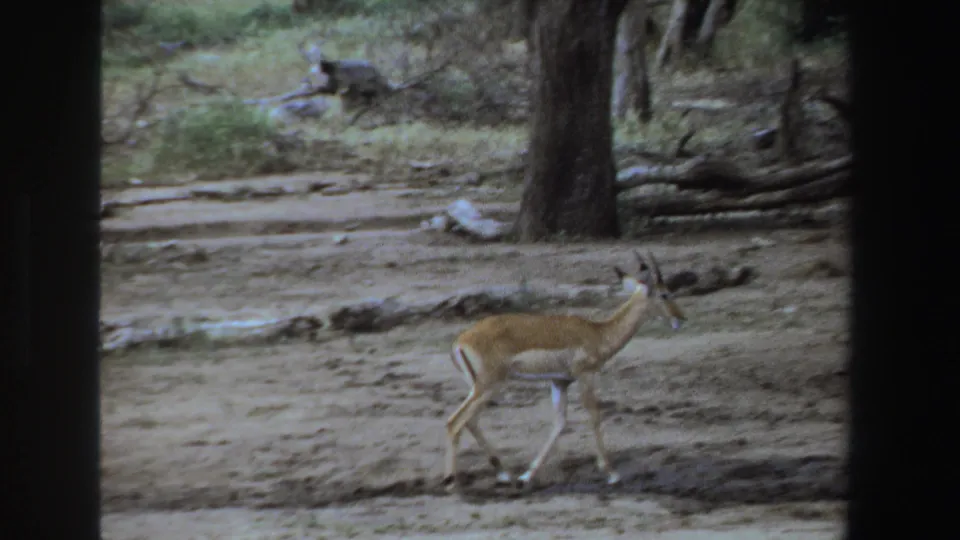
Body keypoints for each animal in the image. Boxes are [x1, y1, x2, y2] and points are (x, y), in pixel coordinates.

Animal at [443, 251, 687, 490]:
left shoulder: (559, 382)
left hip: (478, 387)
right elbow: (594, 415)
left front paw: (526, 476)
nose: (681, 319)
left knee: (469, 421)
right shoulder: (586, 375)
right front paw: (612, 474)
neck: (598, 333)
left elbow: (560, 423)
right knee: (455, 422)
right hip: (490, 386)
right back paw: (452, 481)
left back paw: (504, 474)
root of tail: (460, 342)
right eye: (665, 294)